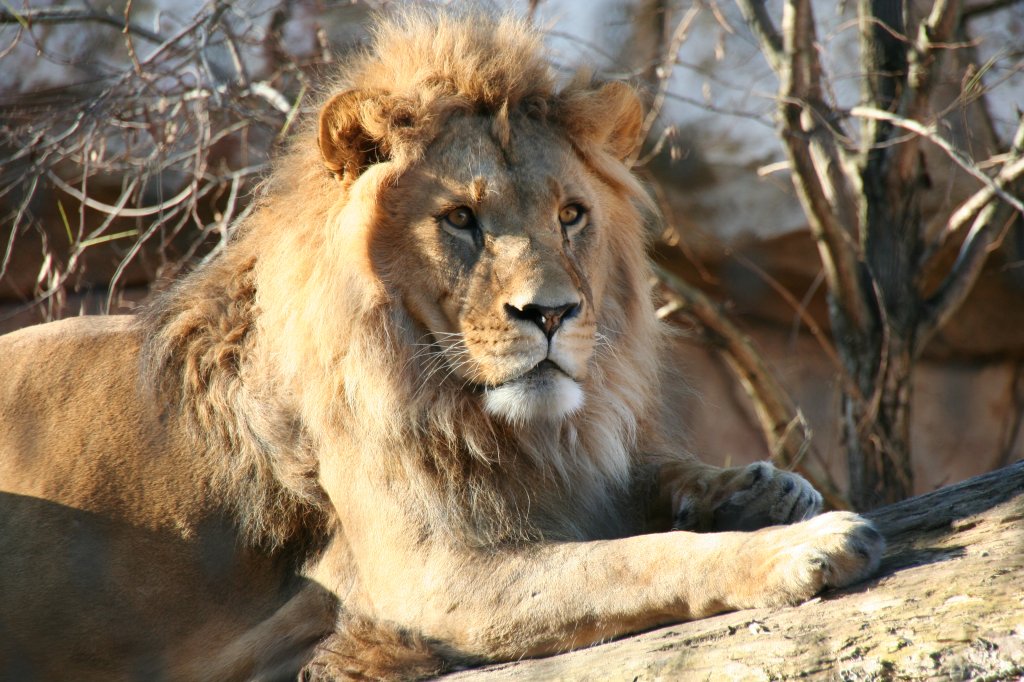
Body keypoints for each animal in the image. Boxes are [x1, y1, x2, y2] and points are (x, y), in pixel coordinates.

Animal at [0, 6, 880, 679]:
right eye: (460, 219)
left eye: (571, 214)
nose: (551, 313)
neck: (488, 418)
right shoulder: (437, 581)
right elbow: (640, 557)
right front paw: (803, 545)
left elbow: (646, 483)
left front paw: (760, 487)